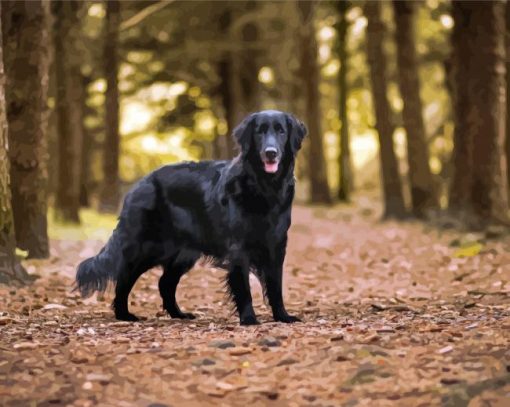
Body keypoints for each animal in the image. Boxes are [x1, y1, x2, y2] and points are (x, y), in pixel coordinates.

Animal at [74, 110, 306, 326]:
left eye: (281, 131)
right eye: (259, 132)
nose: (271, 153)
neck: (264, 187)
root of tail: (141, 183)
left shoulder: (276, 245)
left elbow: (276, 287)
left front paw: (283, 316)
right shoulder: (238, 247)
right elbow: (244, 287)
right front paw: (249, 318)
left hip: (182, 252)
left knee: (165, 282)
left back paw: (178, 314)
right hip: (146, 246)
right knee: (125, 275)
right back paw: (124, 314)